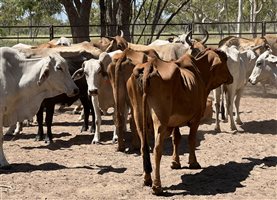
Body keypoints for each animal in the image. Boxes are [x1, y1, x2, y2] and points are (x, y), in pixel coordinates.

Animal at [127, 47, 233, 195]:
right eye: (225, 60)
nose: (231, 77)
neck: (199, 73)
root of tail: (150, 65)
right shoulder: (196, 118)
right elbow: (191, 139)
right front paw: (193, 162)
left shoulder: (174, 121)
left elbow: (176, 139)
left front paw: (175, 163)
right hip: (160, 119)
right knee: (157, 149)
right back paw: (157, 186)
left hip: (138, 115)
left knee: (144, 147)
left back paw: (147, 179)